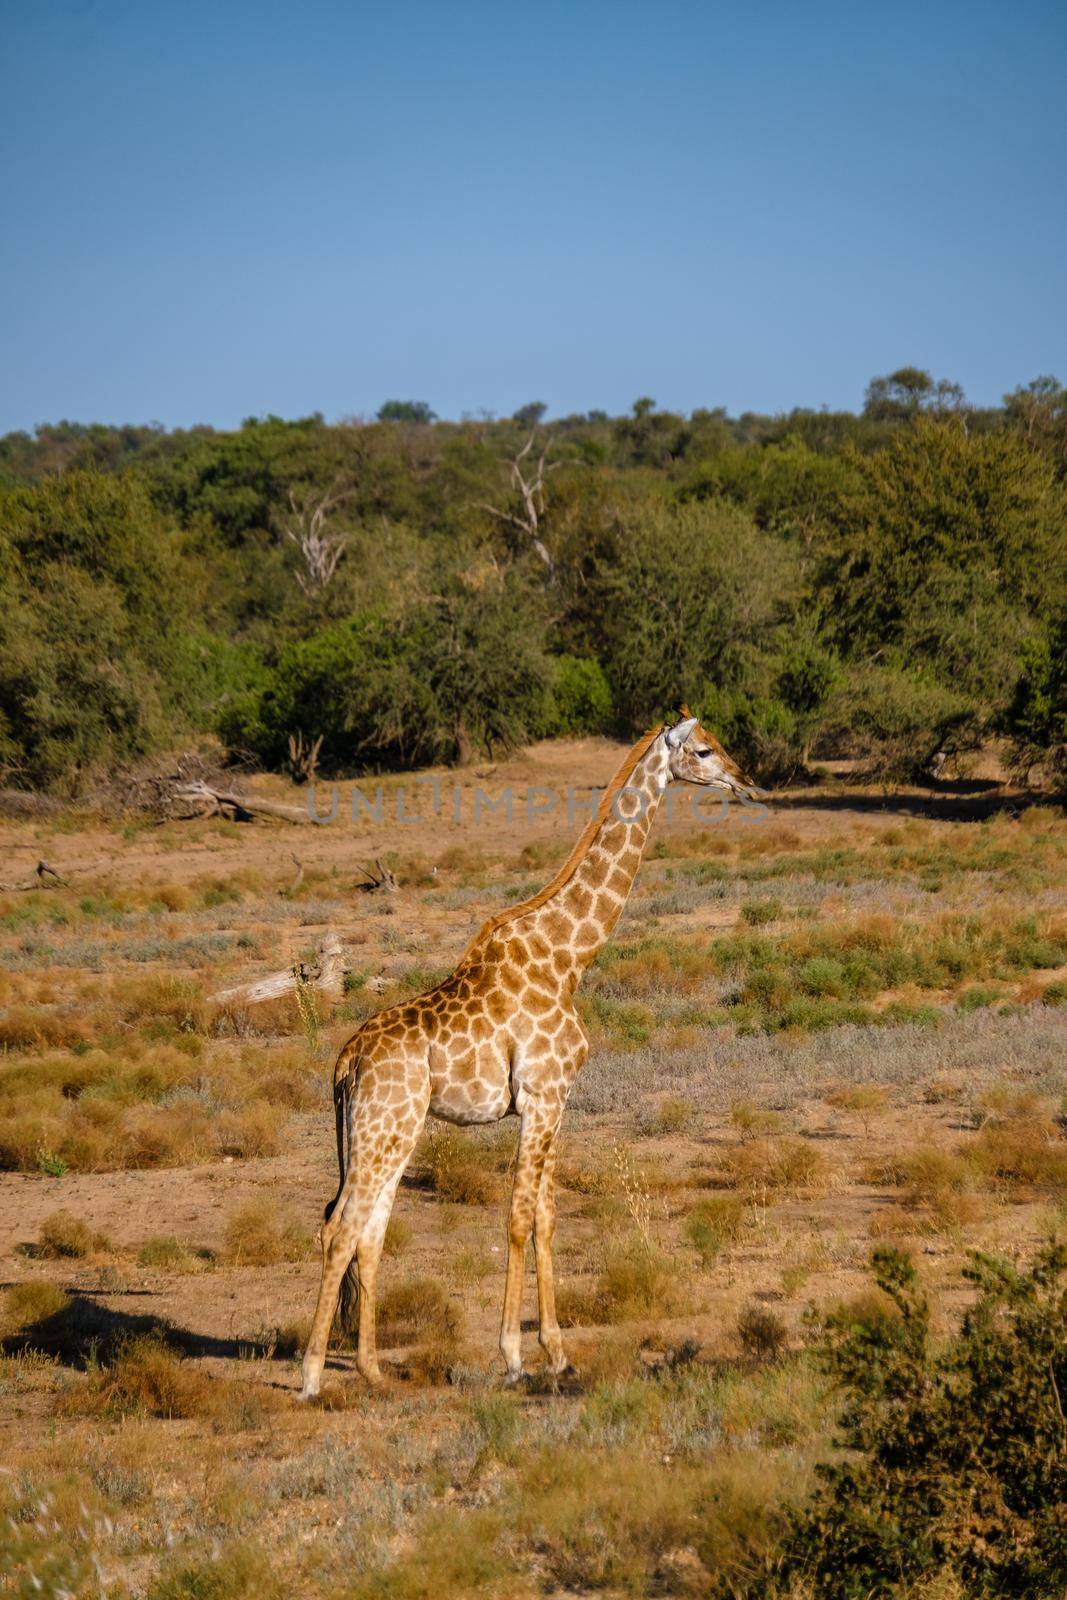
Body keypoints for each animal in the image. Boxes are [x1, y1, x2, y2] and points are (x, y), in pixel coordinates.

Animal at [295, 707, 755, 1395]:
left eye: (719, 745)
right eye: (702, 751)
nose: (745, 782)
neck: (570, 958)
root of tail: (344, 1062)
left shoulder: (557, 1099)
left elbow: (545, 1217)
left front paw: (558, 1353)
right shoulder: (541, 1093)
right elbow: (516, 1216)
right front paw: (513, 1356)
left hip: (388, 1131)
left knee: (368, 1230)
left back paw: (374, 1371)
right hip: (384, 1127)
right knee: (340, 1226)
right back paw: (311, 1376)